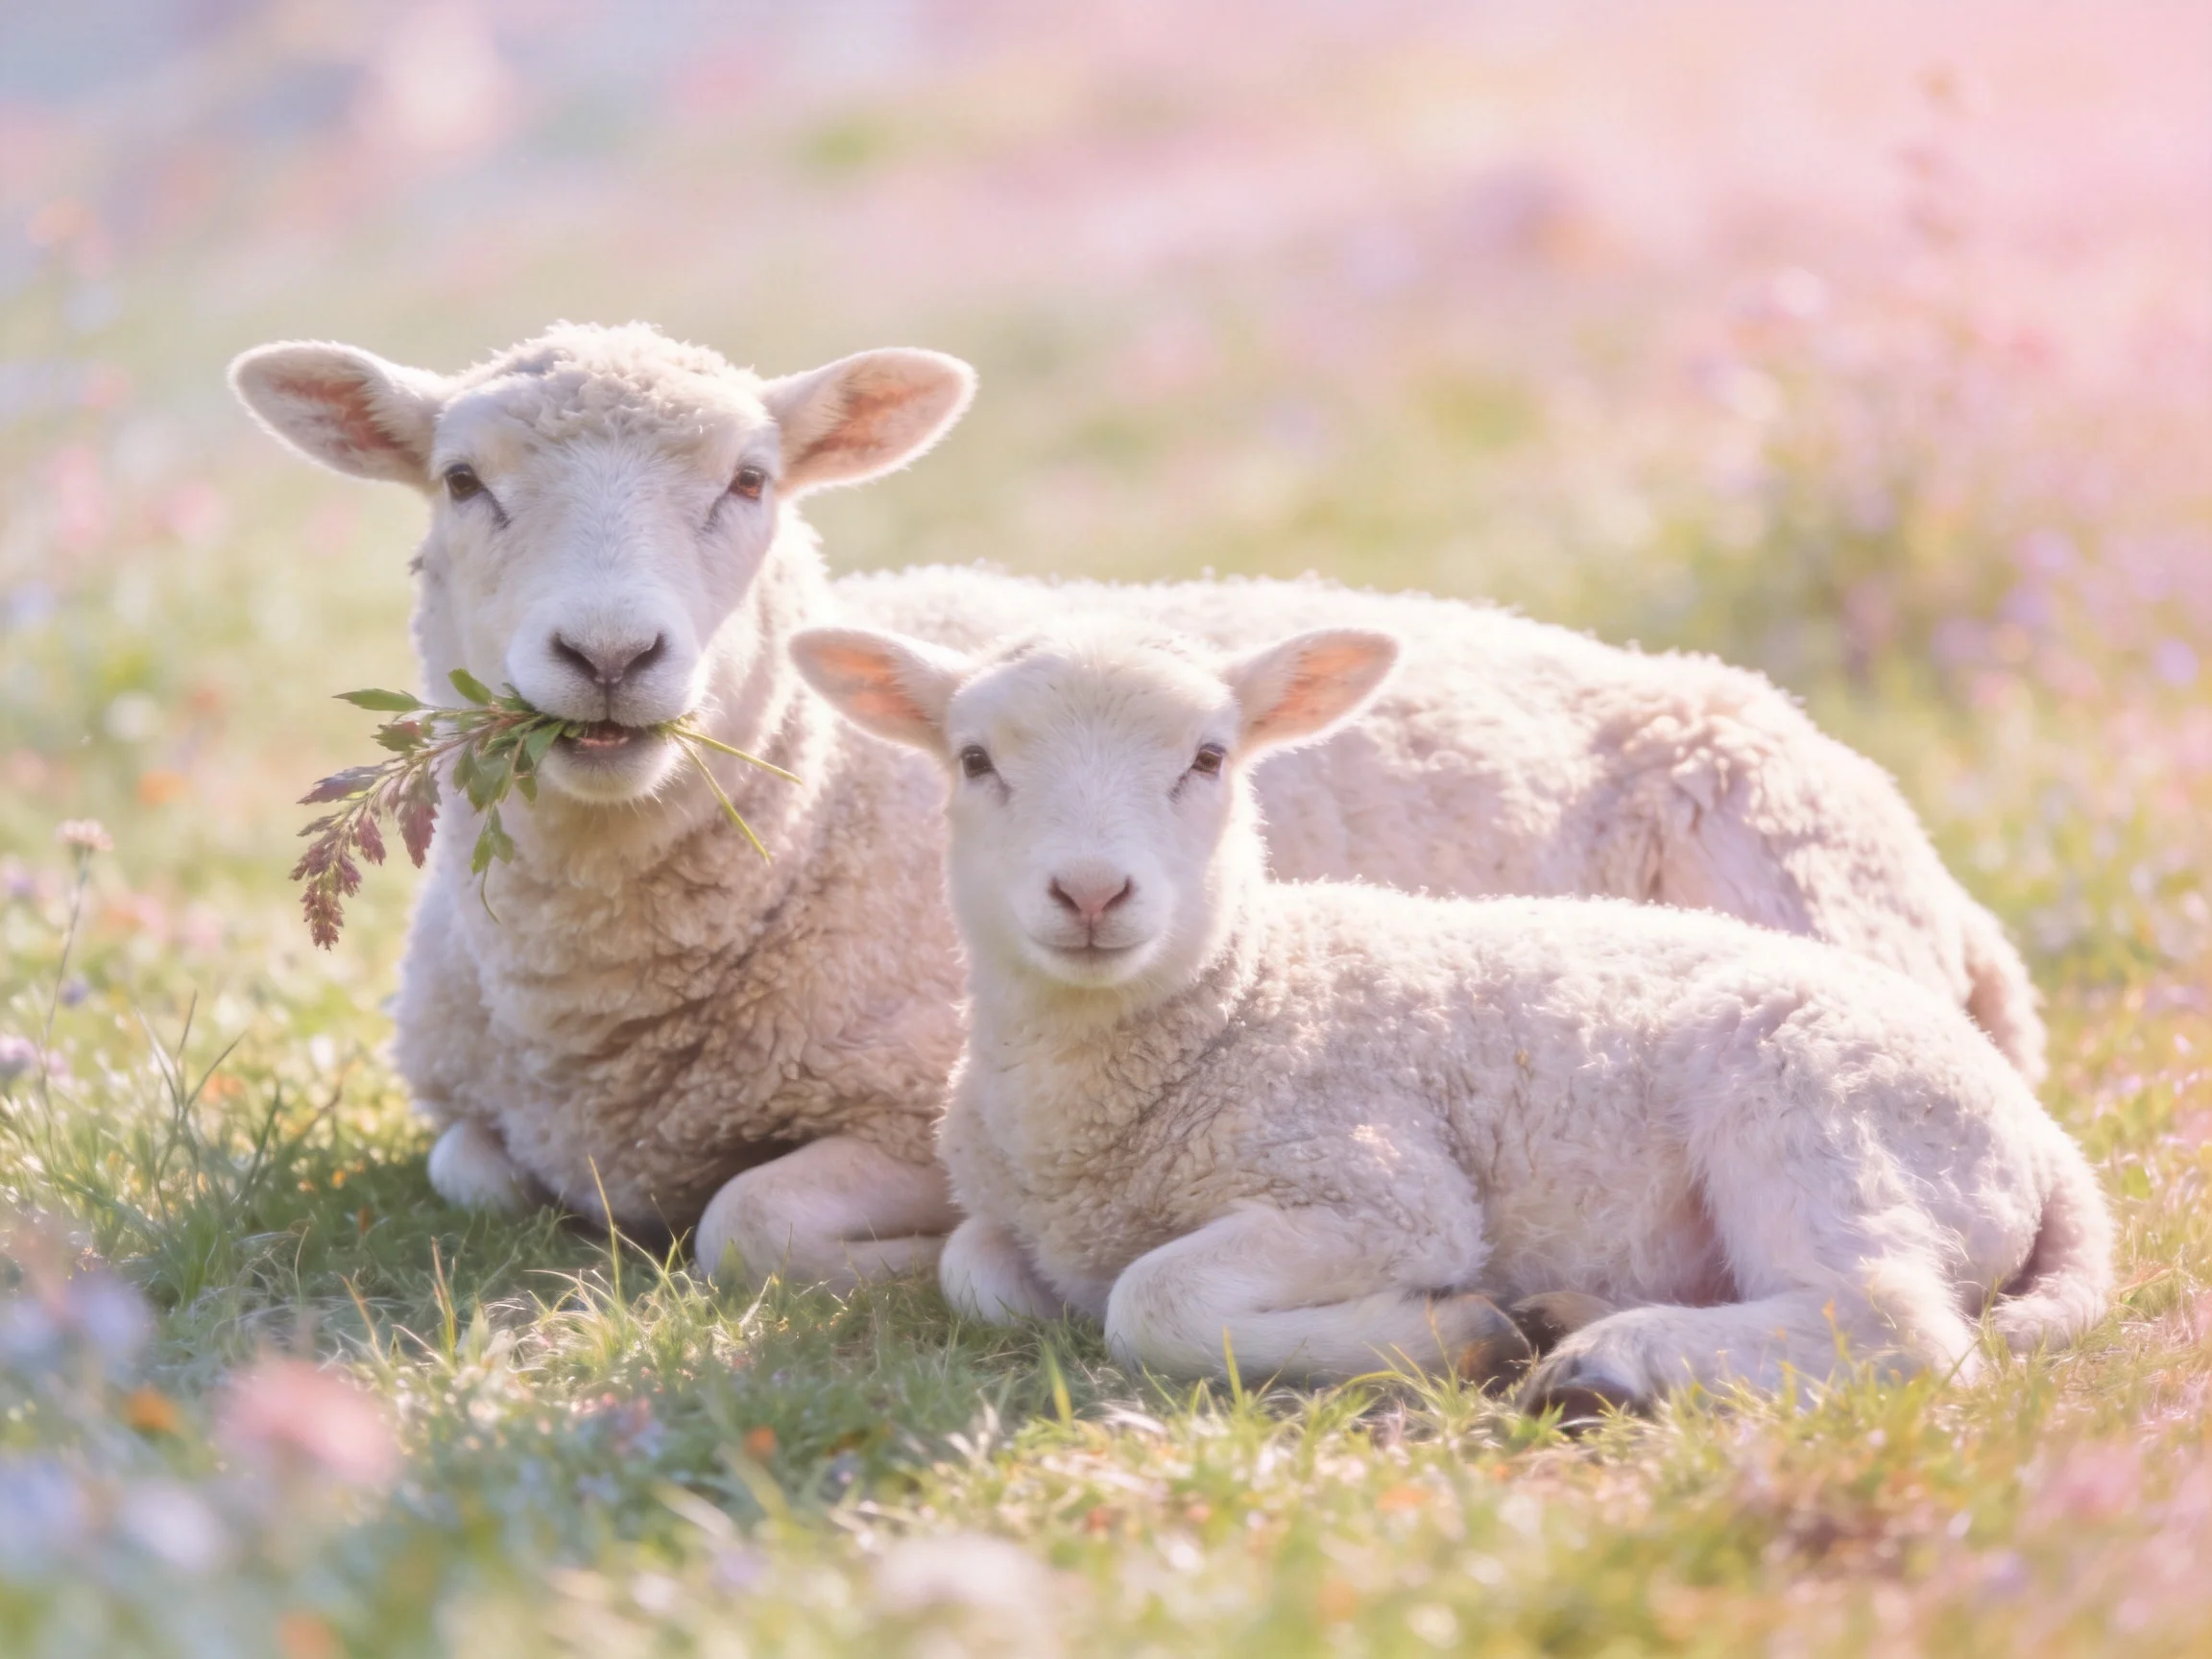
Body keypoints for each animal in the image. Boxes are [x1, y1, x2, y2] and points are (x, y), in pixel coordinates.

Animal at [228, 319, 2044, 1290]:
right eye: (461, 481)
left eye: (751, 482)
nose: (608, 656)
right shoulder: (478, 1114)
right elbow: (472, 1172)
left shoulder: (900, 1104)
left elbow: (749, 1220)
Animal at [789, 620, 2111, 1405]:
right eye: (973, 761)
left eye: (1210, 759)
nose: (1092, 892)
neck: (1238, 996)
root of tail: (2048, 1142)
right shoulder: (1008, 1220)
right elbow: (971, 1266)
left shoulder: (1377, 1191)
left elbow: (1149, 1302)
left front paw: (1452, 1331)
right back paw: (1579, 1314)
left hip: (1820, 1115)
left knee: (1895, 1324)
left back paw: (1605, 1357)